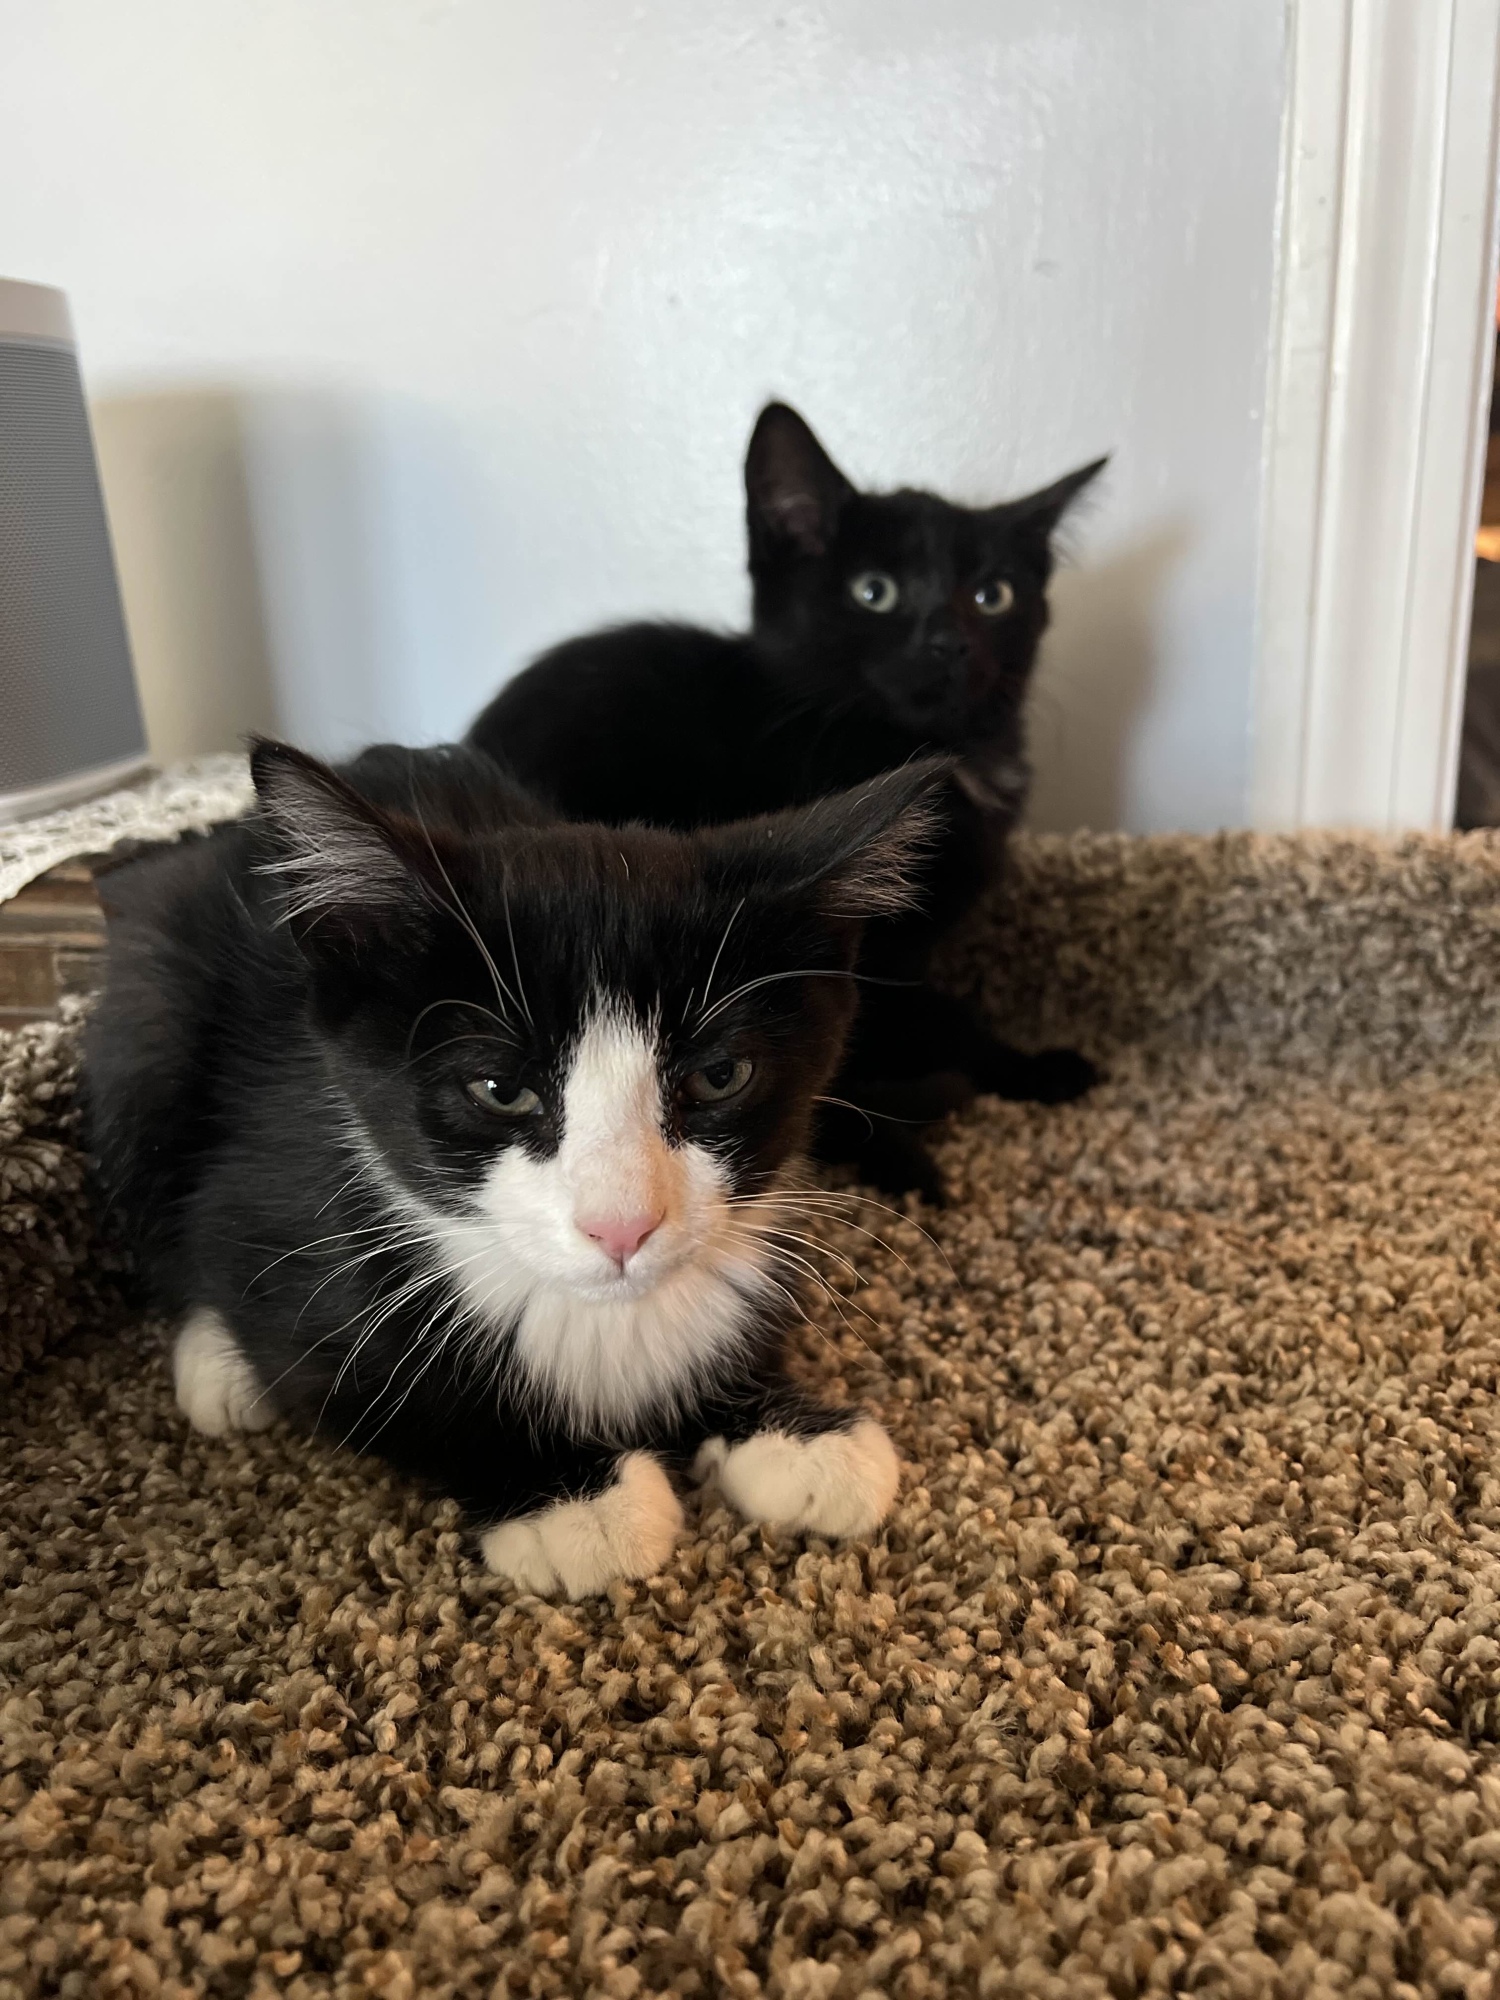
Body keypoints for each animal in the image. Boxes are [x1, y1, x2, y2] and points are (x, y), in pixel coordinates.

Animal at [83, 736, 944, 1597]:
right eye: (500, 1090)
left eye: (720, 1076)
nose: (622, 1227)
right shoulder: (277, 1183)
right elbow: (358, 1382)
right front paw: (568, 1496)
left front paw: (791, 1430)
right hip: (150, 1014)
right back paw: (216, 1365)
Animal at [467, 401, 1107, 1202]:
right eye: (873, 591)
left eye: (994, 596)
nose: (949, 641)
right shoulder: (858, 949)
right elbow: (896, 1030)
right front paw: (962, 1113)